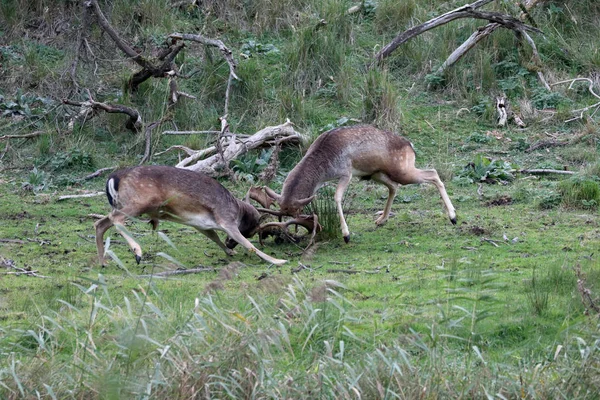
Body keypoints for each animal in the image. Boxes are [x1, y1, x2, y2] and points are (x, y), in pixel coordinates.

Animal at [94, 164, 288, 268]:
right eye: (253, 231)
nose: (230, 244)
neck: (237, 211)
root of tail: (113, 178)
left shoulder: (201, 225)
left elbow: (214, 237)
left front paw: (230, 251)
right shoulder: (226, 219)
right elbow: (250, 246)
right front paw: (278, 260)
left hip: (122, 204)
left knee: (100, 223)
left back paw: (103, 262)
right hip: (140, 201)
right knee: (115, 219)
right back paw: (137, 252)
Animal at [262, 123, 454, 242]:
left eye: (298, 211)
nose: (294, 232)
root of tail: (410, 145)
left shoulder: (346, 173)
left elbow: (337, 197)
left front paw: (346, 235)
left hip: (403, 171)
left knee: (433, 173)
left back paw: (453, 217)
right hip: (376, 173)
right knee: (394, 186)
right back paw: (381, 220)